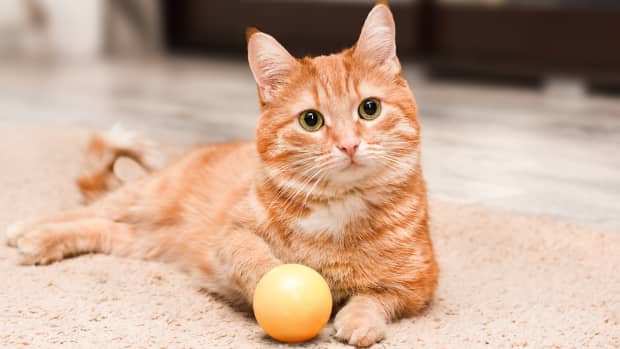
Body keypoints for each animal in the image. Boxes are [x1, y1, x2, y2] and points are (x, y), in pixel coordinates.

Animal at [6, 2, 440, 346]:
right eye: (311, 120)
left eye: (369, 109)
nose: (349, 145)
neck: (337, 212)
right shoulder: (230, 235)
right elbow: (253, 256)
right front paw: (277, 278)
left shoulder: (418, 285)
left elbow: (376, 298)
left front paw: (359, 319)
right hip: (148, 195)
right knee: (85, 211)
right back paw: (30, 232)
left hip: (143, 242)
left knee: (99, 228)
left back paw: (44, 243)